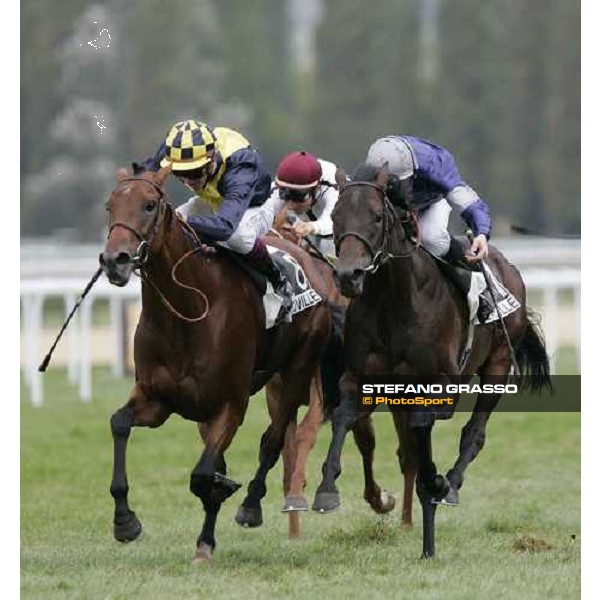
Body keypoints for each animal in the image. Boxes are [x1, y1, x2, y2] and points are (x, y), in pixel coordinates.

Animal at [99, 165, 332, 564]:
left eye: (149, 205)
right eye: (110, 205)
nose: (116, 260)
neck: (186, 312)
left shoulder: (230, 404)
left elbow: (204, 474)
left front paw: (208, 535)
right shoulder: (158, 399)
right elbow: (120, 423)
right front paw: (125, 521)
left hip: (296, 370)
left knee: (273, 439)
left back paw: (251, 504)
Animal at [312, 165, 552, 556]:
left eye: (376, 217)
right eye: (334, 217)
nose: (348, 276)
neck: (395, 300)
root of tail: (508, 266)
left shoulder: (438, 382)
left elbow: (425, 429)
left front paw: (435, 485)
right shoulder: (361, 376)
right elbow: (344, 419)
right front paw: (327, 490)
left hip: (498, 363)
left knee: (475, 432)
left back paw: (450, 484)